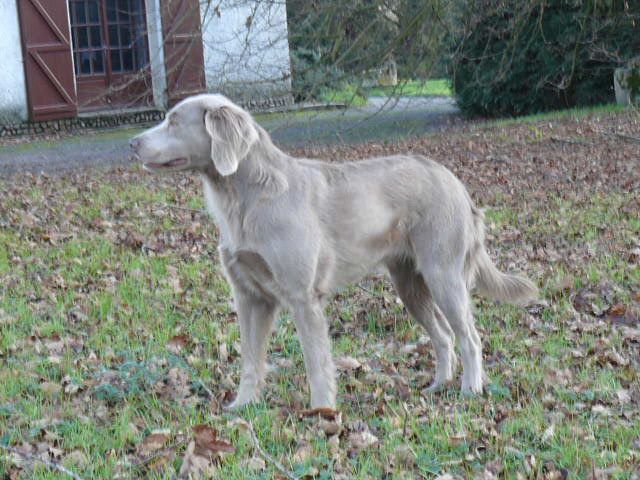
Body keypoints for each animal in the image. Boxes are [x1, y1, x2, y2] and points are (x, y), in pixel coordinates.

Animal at [129, 94, 536, 408]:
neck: (247, 199)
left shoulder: (303, 297)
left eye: (174, 121)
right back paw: (438, 385)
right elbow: (250, 361)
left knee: (469, 336)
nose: (133, 143)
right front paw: (243, 407)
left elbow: (316, 362)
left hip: (443, 275)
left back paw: (470, 389)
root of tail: (455, 182)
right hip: (409, 285)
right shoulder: (249, 297)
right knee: (443, 335)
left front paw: (322, 410)